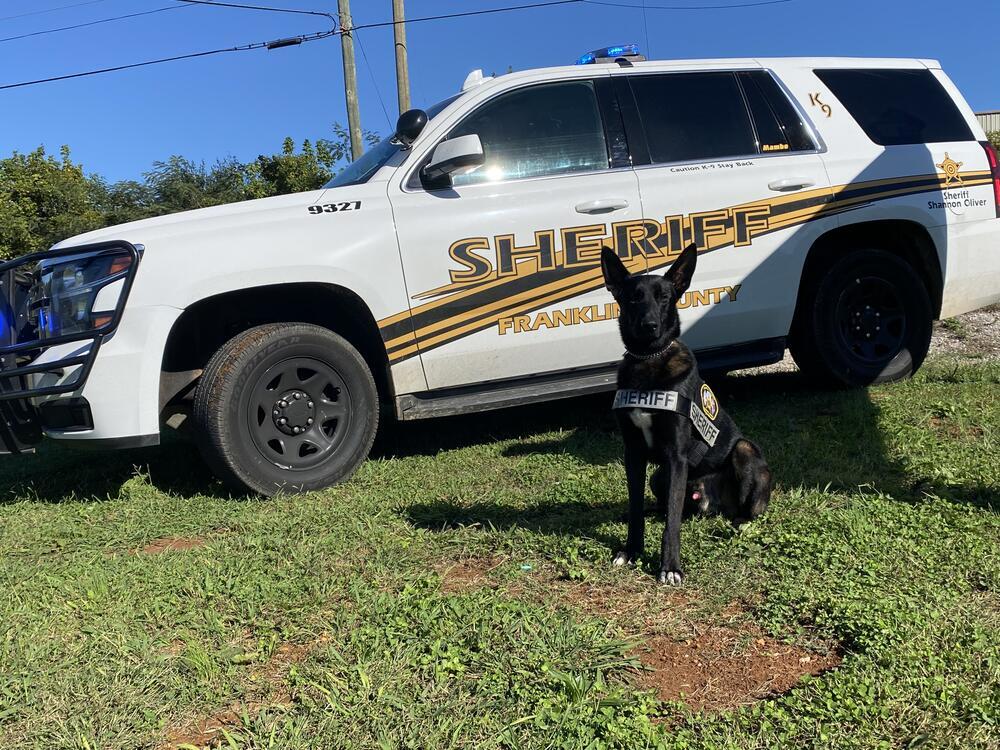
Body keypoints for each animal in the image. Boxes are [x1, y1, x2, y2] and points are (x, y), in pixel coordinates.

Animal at [600, 247, 772, 588]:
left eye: (664, 297)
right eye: (633, 298)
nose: (650, 325)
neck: (649, 361)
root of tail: (712, 504)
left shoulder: (676, 456)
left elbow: (672, 524)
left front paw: (670, 567)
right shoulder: (634, 454)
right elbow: (637, 508)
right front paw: (632, 550)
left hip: (743, 451)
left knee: (742, 510)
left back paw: (739, 522)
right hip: (659, 476)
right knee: (668, 506)